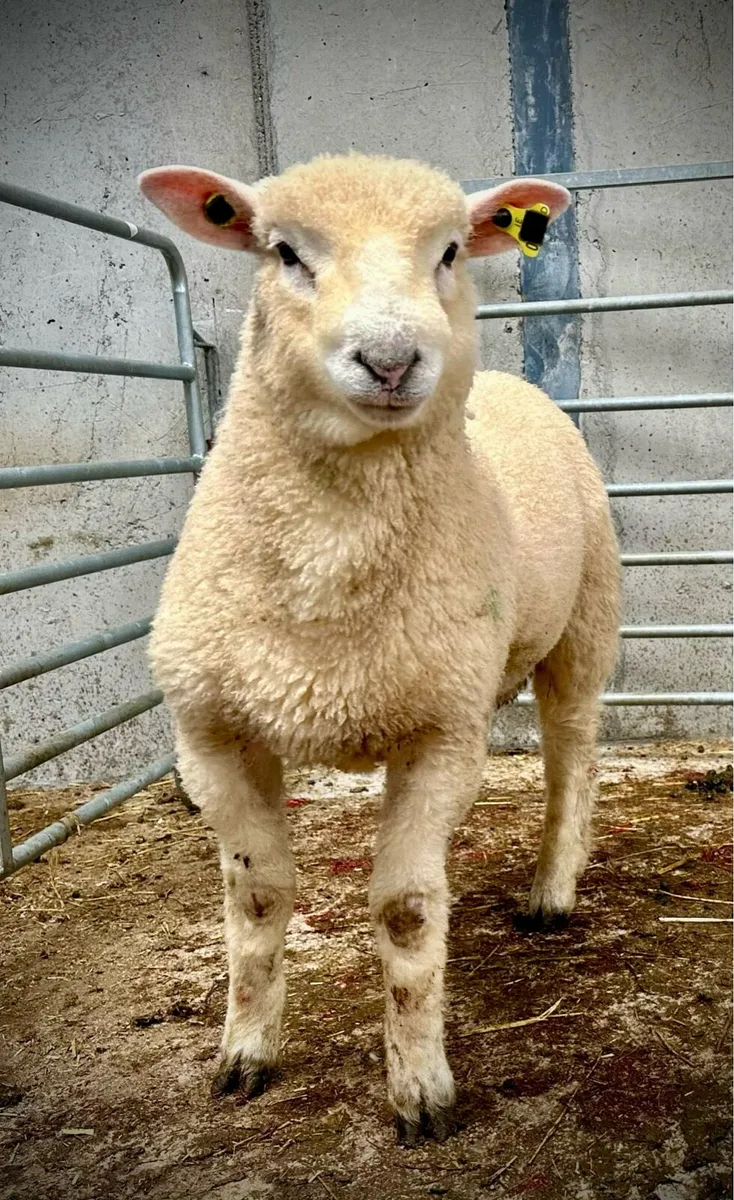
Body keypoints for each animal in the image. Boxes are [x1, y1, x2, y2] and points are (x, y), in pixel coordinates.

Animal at [139, 152, 620, 1146]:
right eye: (283, 252)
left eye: (448, 253)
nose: (394, 360)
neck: (328, 575)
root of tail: (512, 383)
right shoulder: (210, 734)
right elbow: (256, 900)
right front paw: (245, 1055)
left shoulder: (440, 732)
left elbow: (404, 913)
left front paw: (421, 1089)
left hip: (585, 623)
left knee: (572, 760)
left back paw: (552, 890)